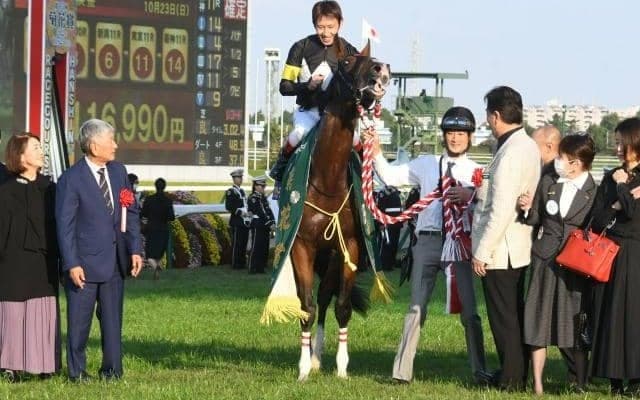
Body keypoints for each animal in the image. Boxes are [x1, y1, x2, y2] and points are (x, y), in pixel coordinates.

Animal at [291, 43, 390, 381]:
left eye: (370, 58)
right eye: (346, 62)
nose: (380, 70)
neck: (328, 183)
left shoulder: (351, 247)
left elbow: (342, 306)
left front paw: (342, 367)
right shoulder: (300, 247)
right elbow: (305, 306)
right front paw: (303, 368)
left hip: (332, 255)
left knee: (326, 295)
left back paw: (319, 355)